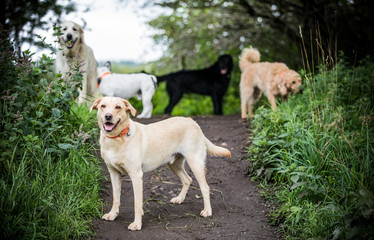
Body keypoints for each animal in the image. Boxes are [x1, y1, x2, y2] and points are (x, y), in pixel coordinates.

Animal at [90, 97, 231, 231]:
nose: (108, 116)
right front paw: (112, 214)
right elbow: (116, 198)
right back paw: (179, 199)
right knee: (188, 179)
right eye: (103, 106)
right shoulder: (113, 173)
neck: (117, 138)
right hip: (174, 164)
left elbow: (137, 203)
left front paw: (137, 224)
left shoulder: (136, 175)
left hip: (195, 162)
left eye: (118, 107)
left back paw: (207, 211)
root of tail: (192, 121)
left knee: (205, 187)